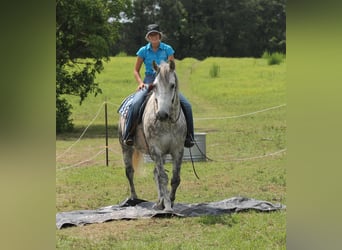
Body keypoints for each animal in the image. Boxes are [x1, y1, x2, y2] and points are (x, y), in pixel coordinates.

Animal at [118, 60, 187, 211]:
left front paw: (168, 201)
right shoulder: (156, 150)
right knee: (129, 172)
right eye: (155, 86)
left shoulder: (177, 150)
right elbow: (163, 177)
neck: (167, 123)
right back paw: (133, 199)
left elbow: (174, 178)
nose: (161, 114)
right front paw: (167, 206)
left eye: (172, 85)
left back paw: (158, 201)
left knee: (155, 173)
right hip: (126, 147)